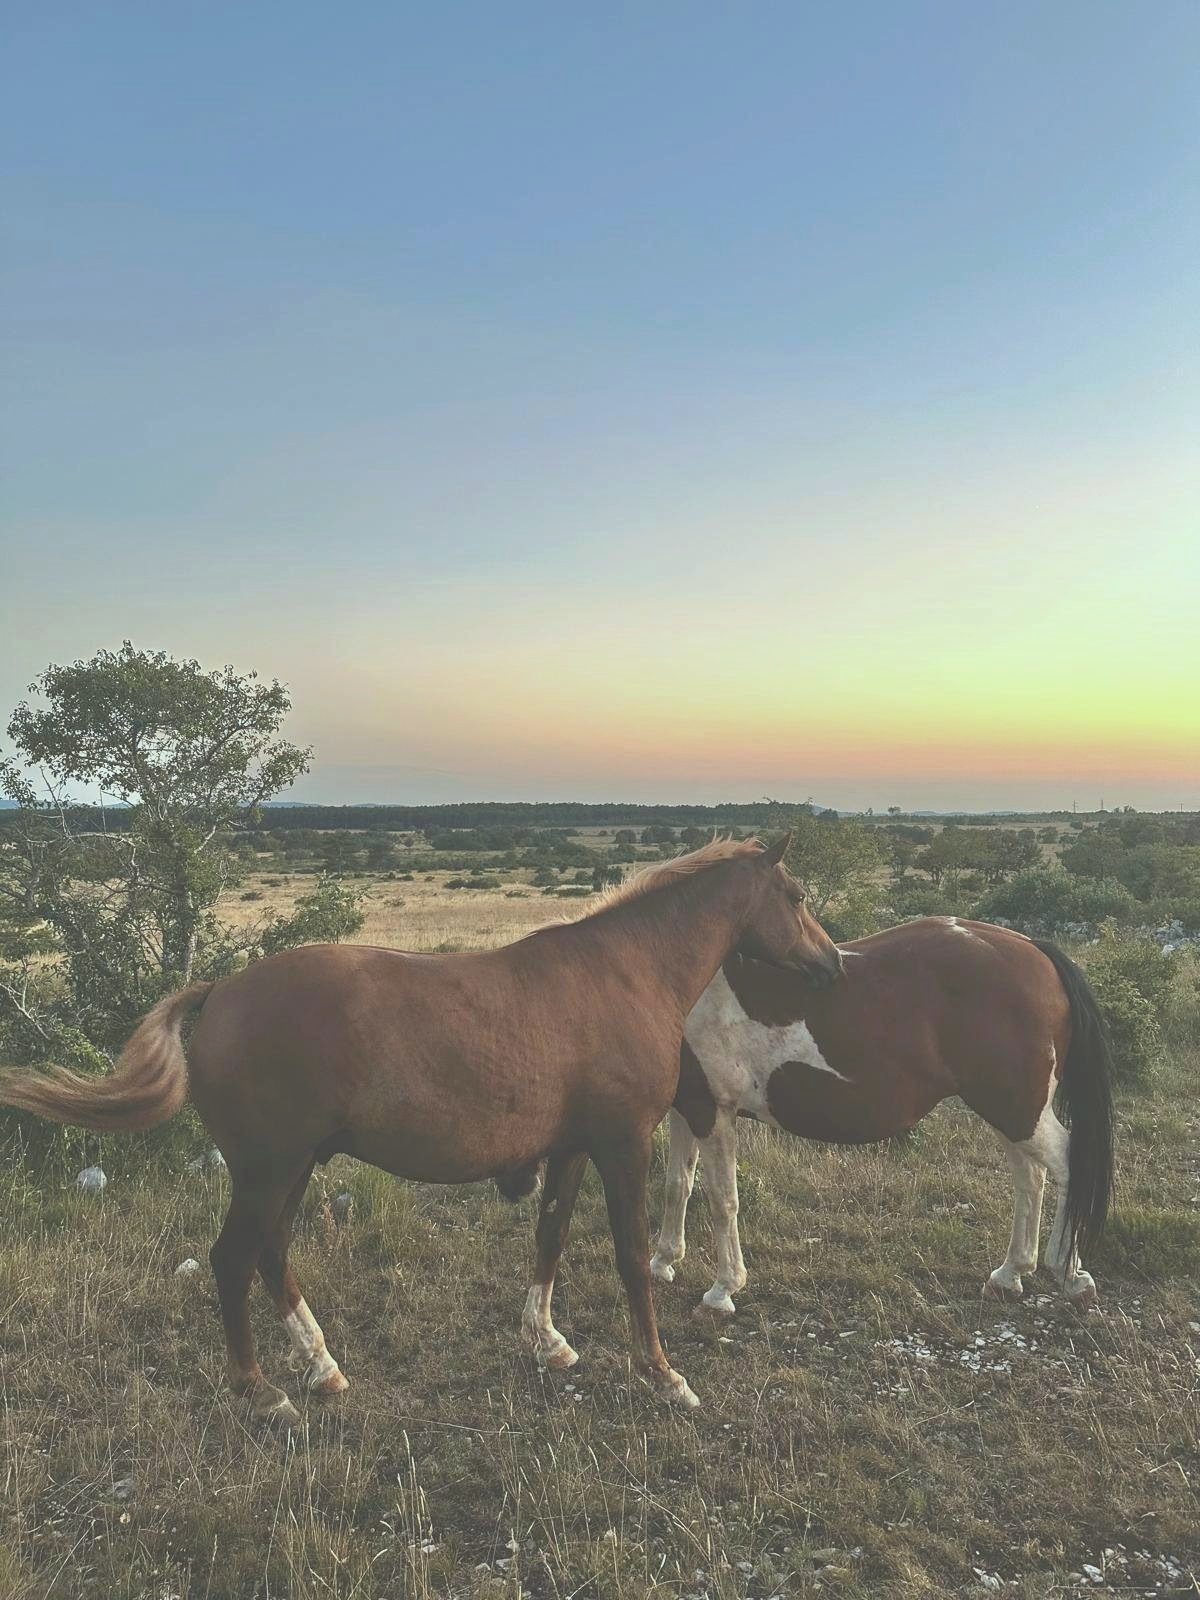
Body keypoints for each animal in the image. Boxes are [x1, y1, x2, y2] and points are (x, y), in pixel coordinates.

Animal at [0, 835, 844, 1420]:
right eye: (797, 894)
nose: (833, 963)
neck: (624, 971)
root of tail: (221, 993)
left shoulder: (571, 1148)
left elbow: (549, 1237)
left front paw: (547, 1340)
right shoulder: (622, 1146)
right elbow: (634, 1261)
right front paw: (662, 1374)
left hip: (291, 1169)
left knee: (270, 1255)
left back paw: (321, 1367)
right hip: (271, 1169)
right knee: (233, 1259)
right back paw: (261, 1391)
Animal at [649, 915, 1115, 1317]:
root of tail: (1033, 949)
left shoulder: (712, 1112)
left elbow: (721, 1198)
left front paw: (721, 1291)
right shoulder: (687, 1109)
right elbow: (677, 1185)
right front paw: (663, 1262)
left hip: (1017, 1109)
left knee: (1066, 1164)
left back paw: (1071, 1276)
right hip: (1011, 1112)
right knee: (1030, 1176)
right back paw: (1010, 1274)